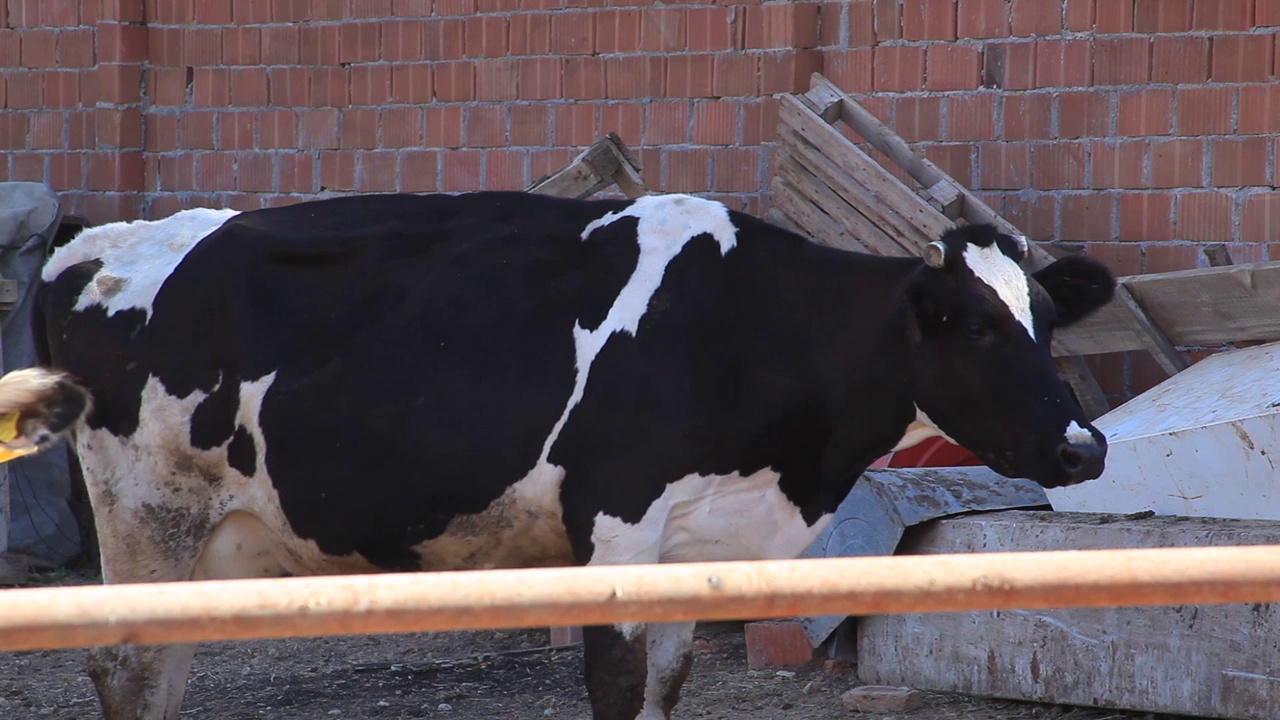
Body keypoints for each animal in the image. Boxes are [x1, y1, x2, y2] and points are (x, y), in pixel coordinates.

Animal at [0, 190, 1111, 717]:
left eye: (1047, 317)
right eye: (974, 327)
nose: (1081, 445)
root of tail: (90, 244)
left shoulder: (694, 550)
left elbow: (664, 687)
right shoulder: (615, 529)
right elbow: (614, 687)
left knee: (164, 672)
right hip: (149, 514)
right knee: (125, 669)